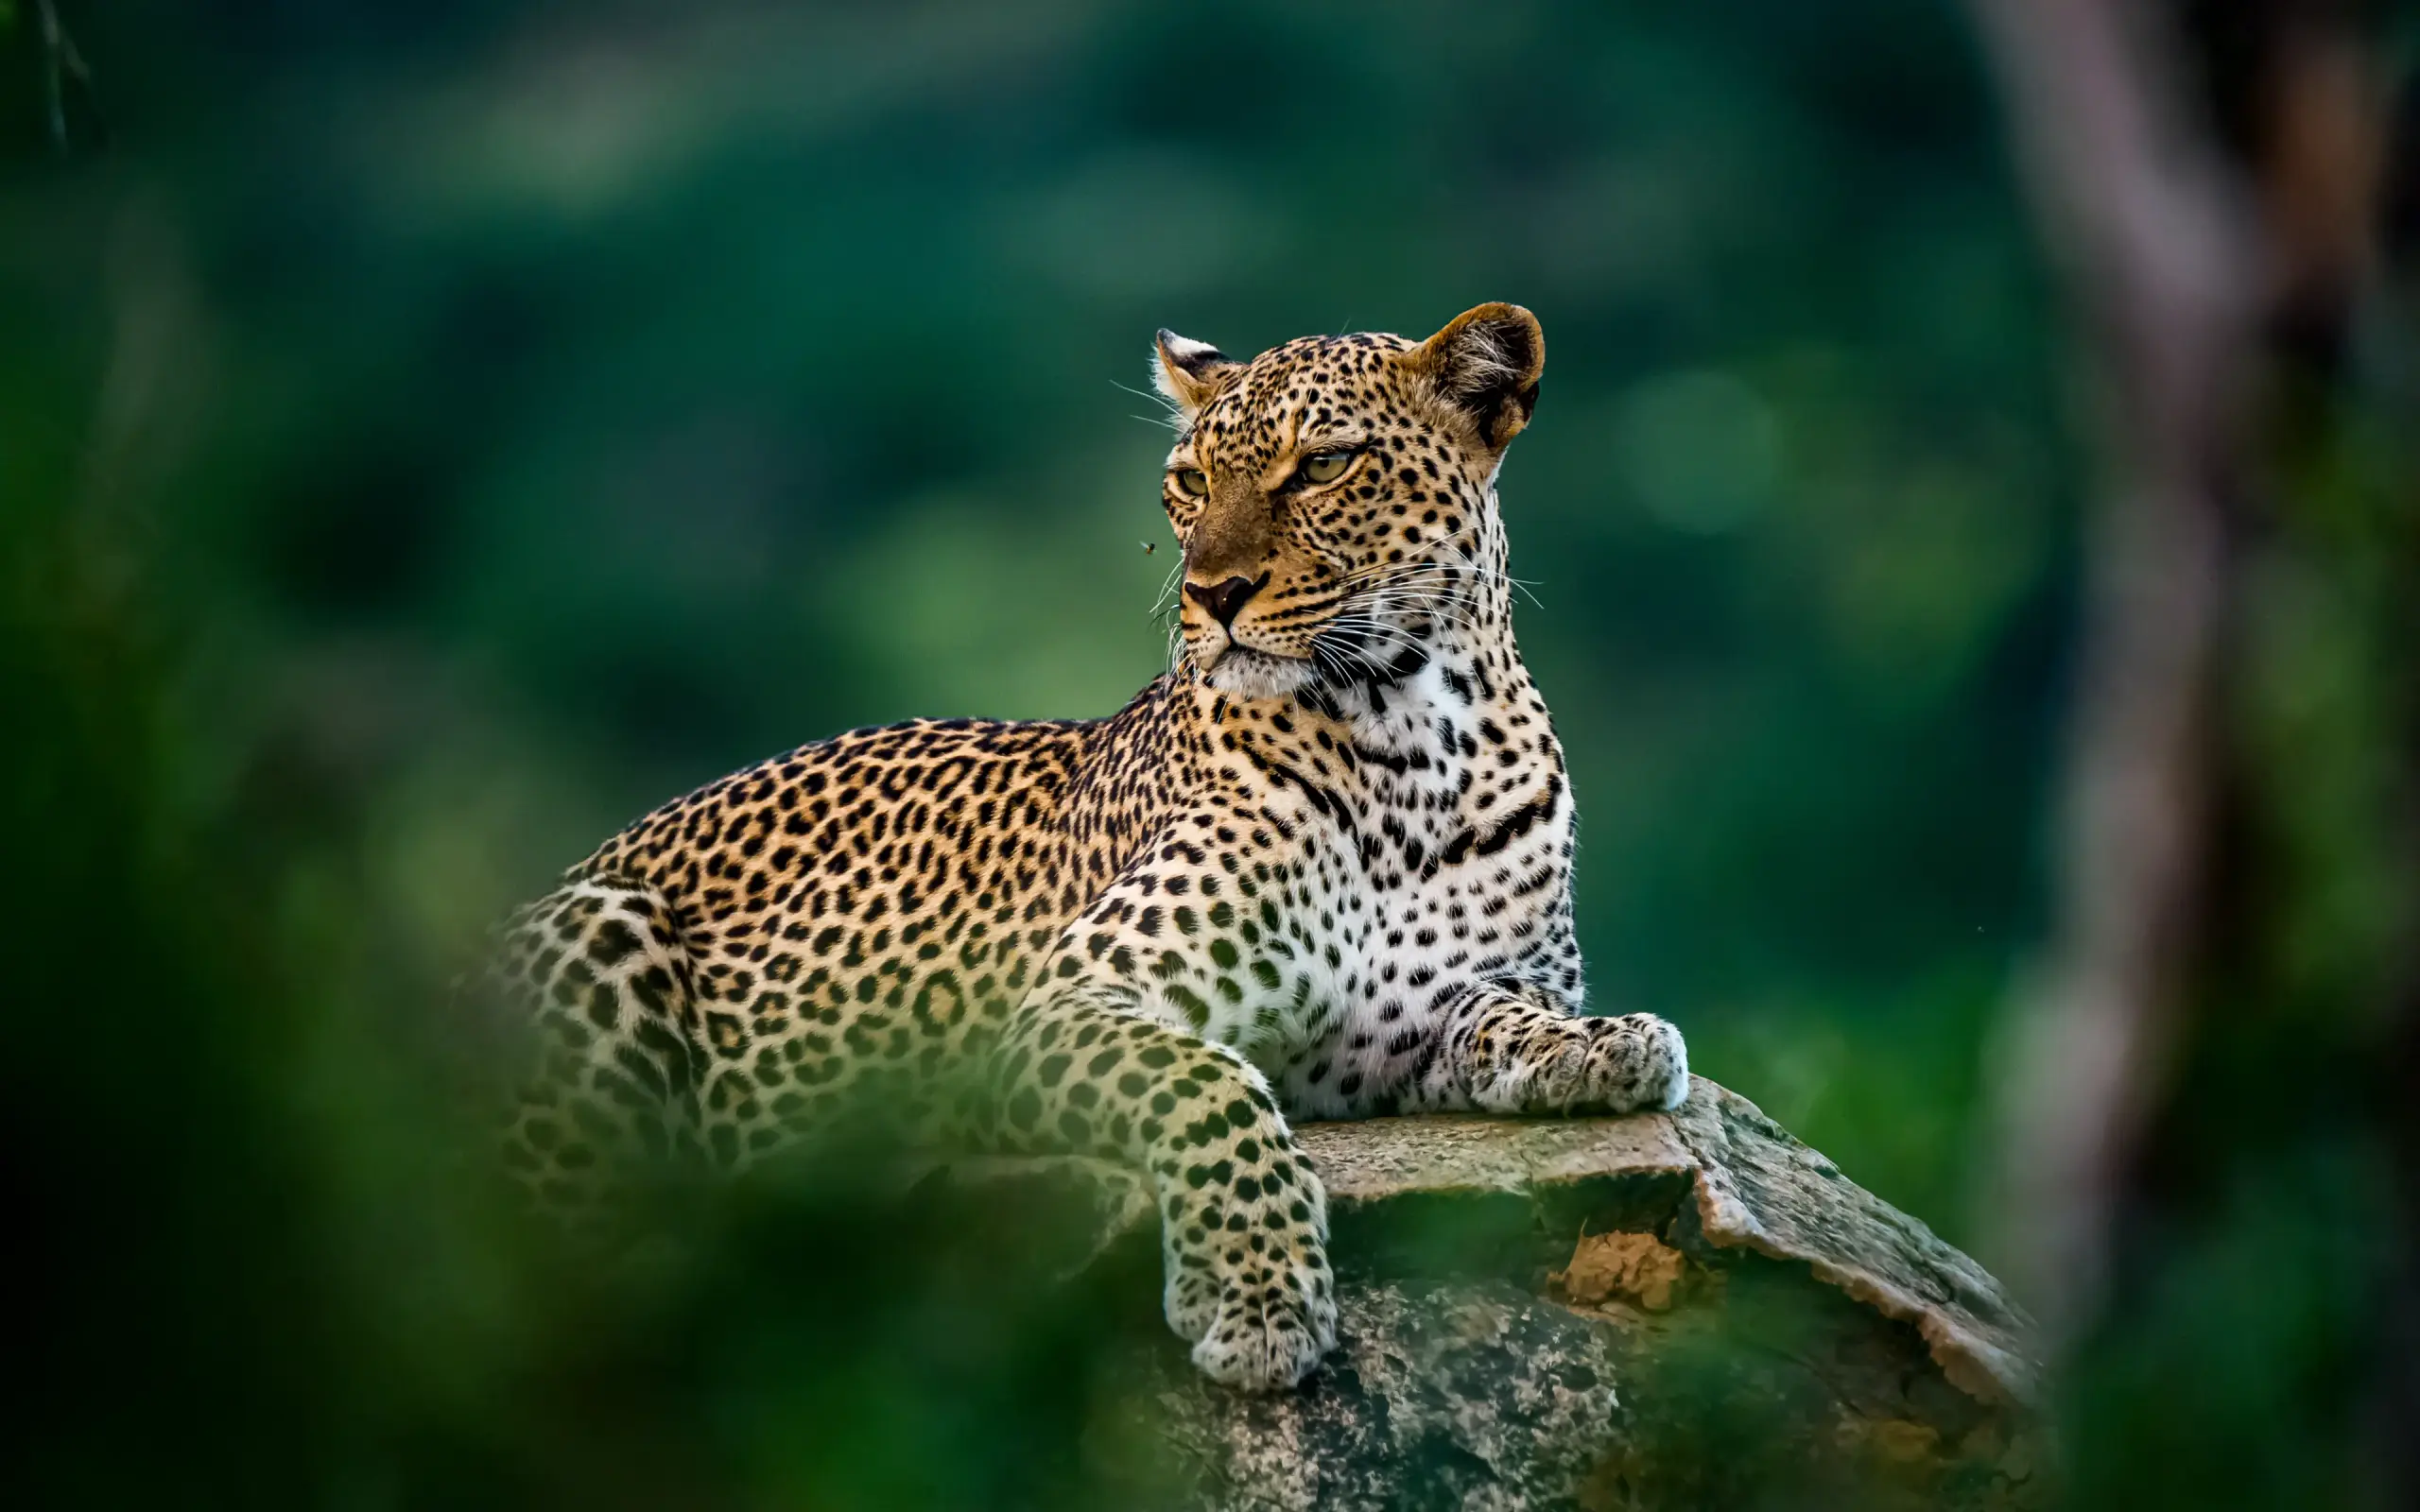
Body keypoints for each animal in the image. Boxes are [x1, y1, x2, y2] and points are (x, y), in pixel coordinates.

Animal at [481, 302, 1689, 1392]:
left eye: (1322, 466)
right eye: (1189, 481)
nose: (1212, 594)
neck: (1410, 742)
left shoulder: (1423, 1022)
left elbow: (1507, 1017)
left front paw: (1608, 1044)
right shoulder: (1071, 1004)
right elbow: (1212, 1087)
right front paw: (1257, 1297)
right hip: (606, 927)